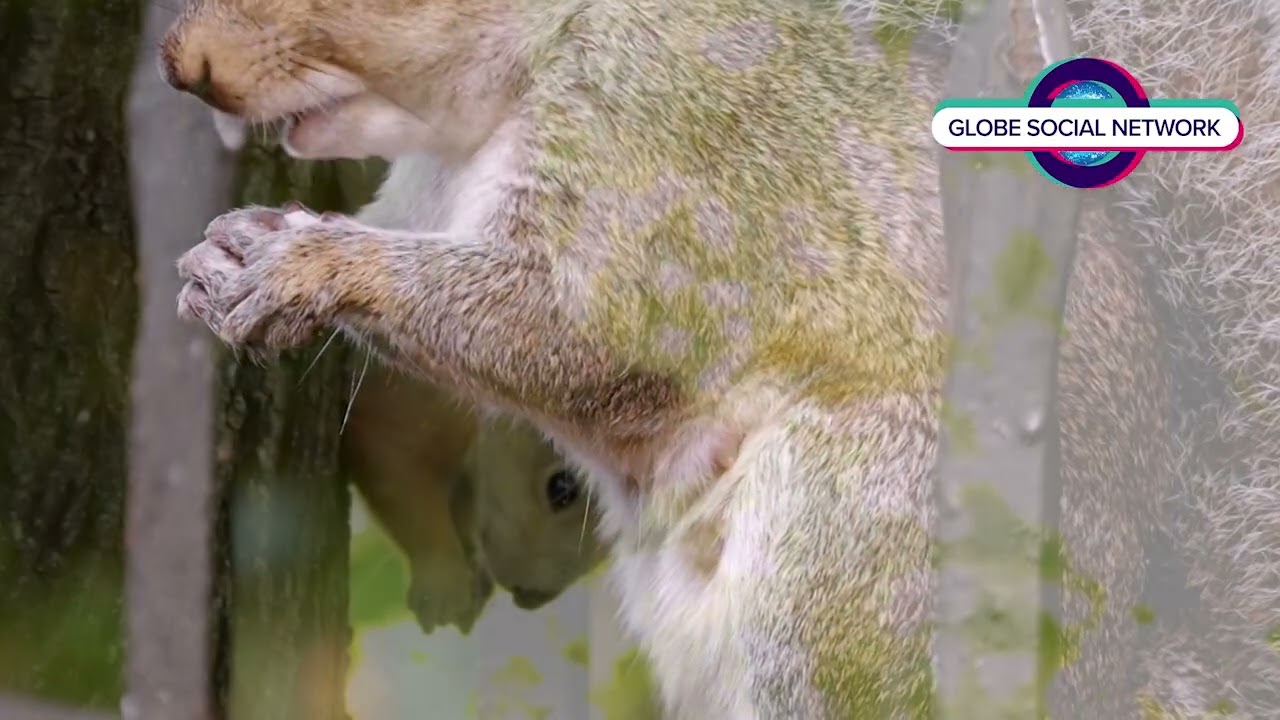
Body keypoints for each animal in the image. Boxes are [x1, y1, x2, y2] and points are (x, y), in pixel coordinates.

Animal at [159, 0, 1278, 716]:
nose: (178, 60)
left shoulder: (660, 145)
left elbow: (579, 332)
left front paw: (307, 266)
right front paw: (227, 255)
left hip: (854, 552)